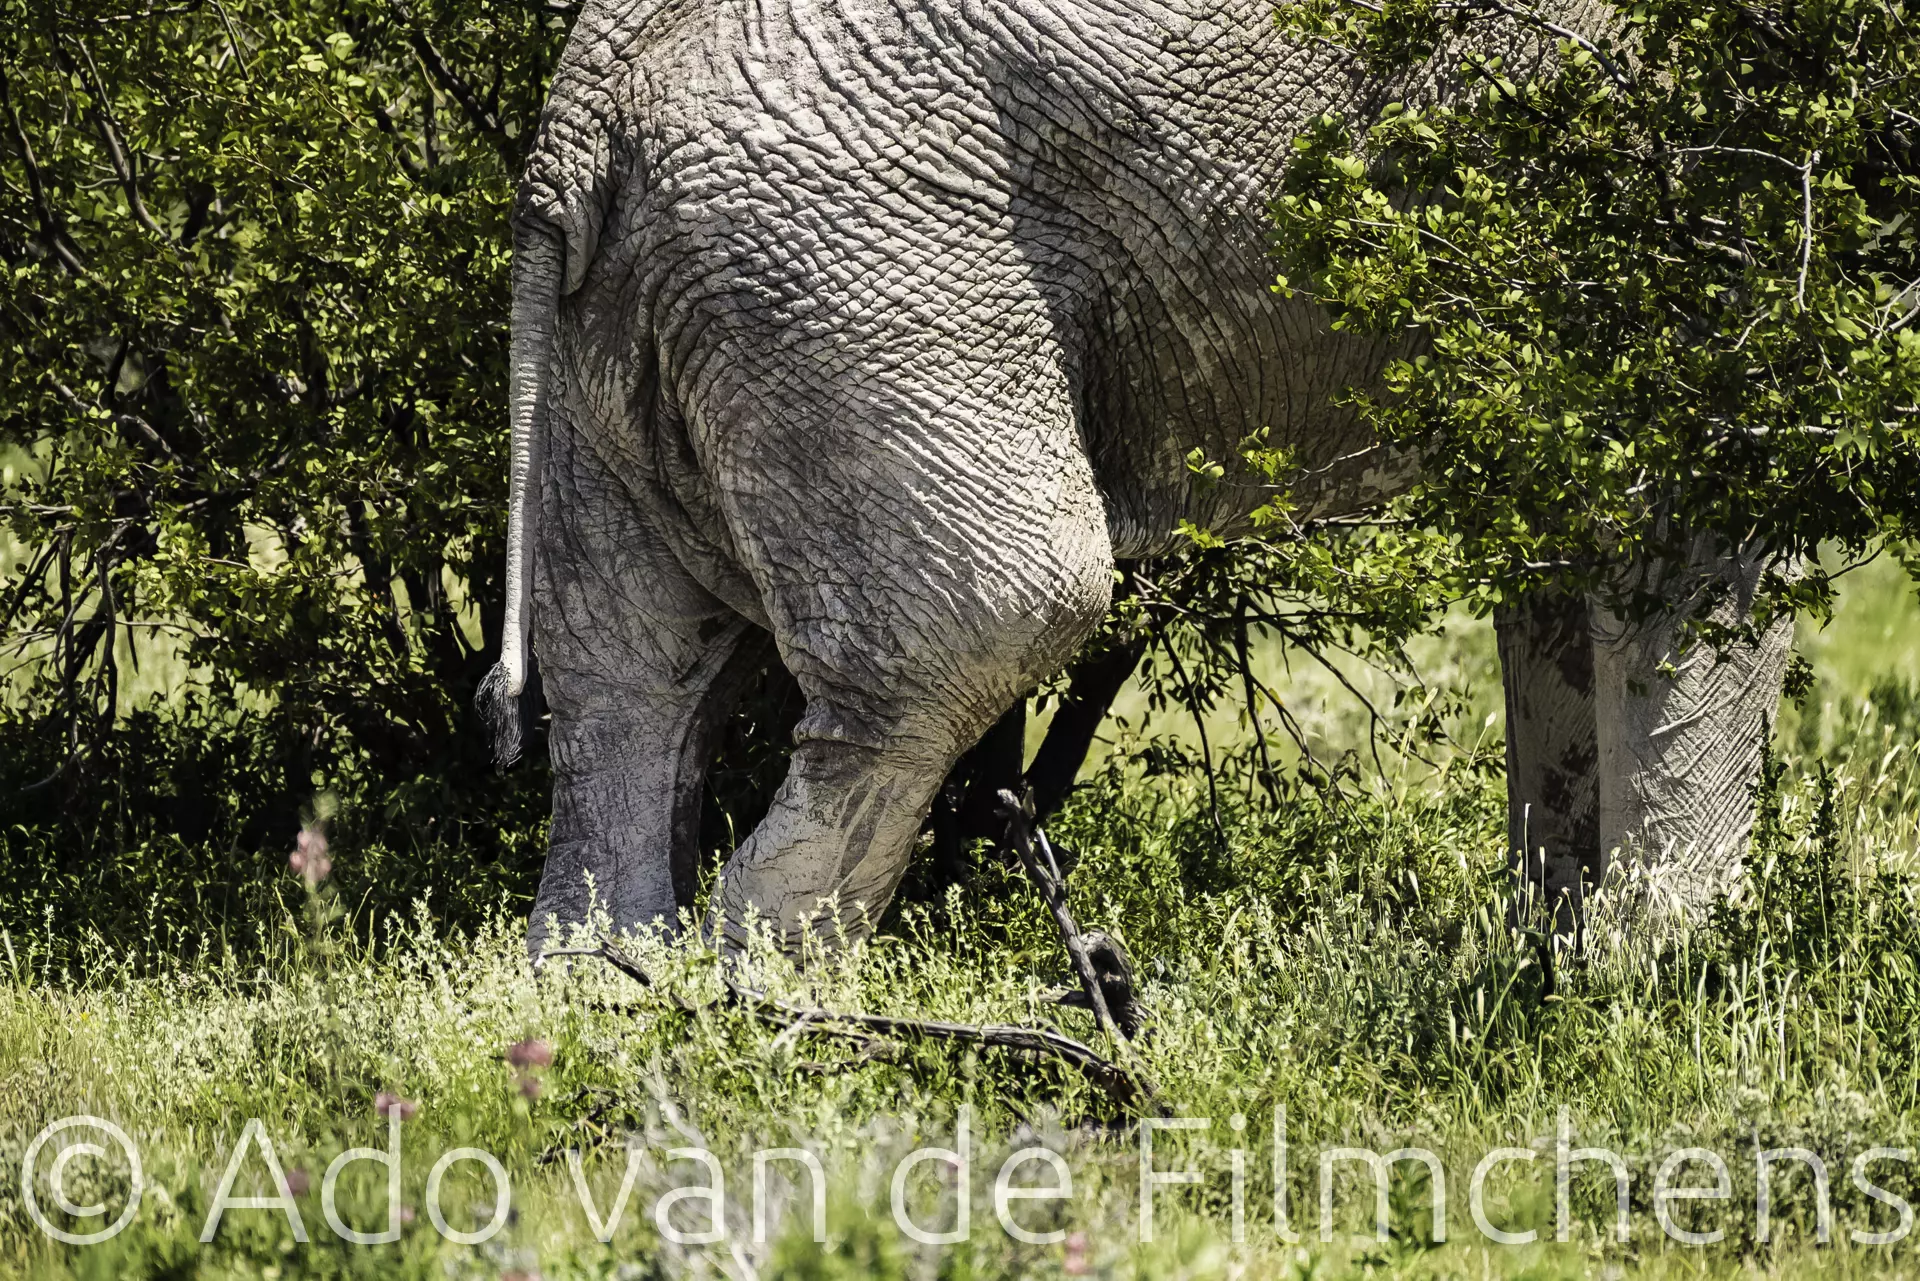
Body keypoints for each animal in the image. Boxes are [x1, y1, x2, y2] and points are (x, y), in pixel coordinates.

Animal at [475, 0, 1795, 955]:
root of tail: (573, 128)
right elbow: (1693, 524)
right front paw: (1664, 975)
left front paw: (1564, 962)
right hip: (832, 270)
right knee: (987, 624)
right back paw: (764, 998)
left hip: (640, 316)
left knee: (633, 678)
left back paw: (608, 983)